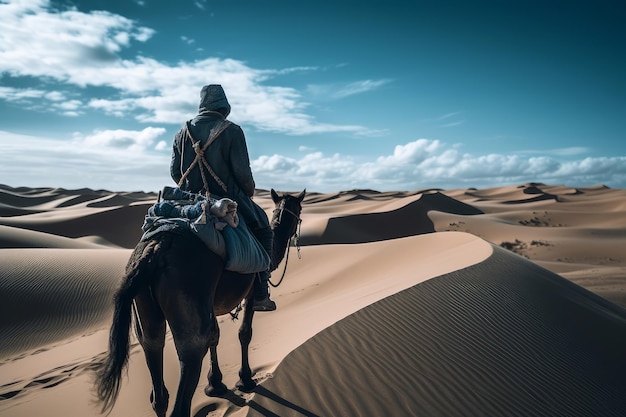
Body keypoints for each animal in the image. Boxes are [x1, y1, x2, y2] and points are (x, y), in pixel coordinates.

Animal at [94, 189, 304, 416]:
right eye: (300, 208)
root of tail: (156, 248)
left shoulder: (210, 304)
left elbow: (215, 336)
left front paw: (215, 384)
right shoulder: (250, 292)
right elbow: (244, 333)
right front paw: (245, 380)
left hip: (145, 307)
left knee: (155, 364)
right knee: (191, 357)